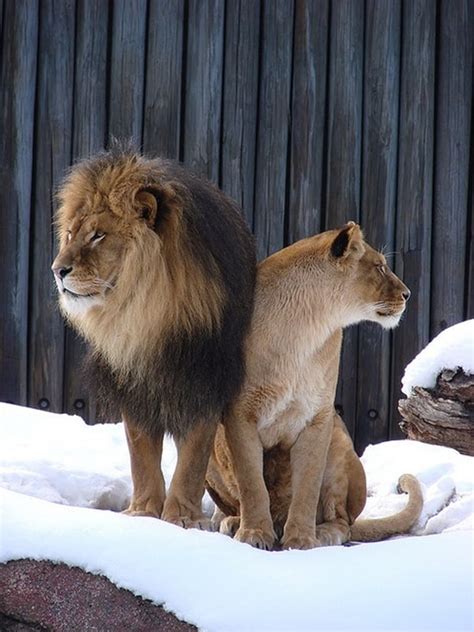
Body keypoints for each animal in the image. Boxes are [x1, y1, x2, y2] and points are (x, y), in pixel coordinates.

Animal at [52, 147, 258, 528]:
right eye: (71, 233)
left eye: (99, 235)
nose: (58, 270)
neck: (146, 314)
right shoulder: (134, 384)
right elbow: (142, 457)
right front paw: (143, 513)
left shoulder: (203, 380)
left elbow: (191, 460)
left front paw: (181, 519)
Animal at [204, 223, 422, 548]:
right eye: (380, 267)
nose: (407, 294)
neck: (308, 327)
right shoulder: (240, 414)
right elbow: (252, 483)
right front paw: (254, 533)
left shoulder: (318, 418)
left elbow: (307, 486)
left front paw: (301, 540)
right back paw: (232, 522)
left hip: (340, 441)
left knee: (344, 522)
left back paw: (322, 533)